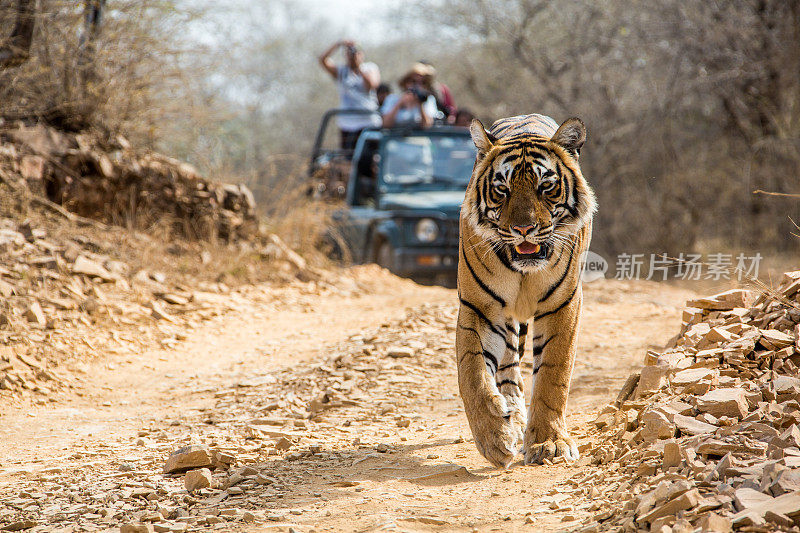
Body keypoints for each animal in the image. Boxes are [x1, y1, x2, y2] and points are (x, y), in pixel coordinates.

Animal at [456, 113, 592, 466]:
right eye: (502, 190)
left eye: (546, 187)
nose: (523, 229)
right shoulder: (479, 308)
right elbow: (472, 373)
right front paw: (494, 437)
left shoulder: (563, 305)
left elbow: (552, 376)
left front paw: (549, 443)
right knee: (508, 368)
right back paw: (512, 418)